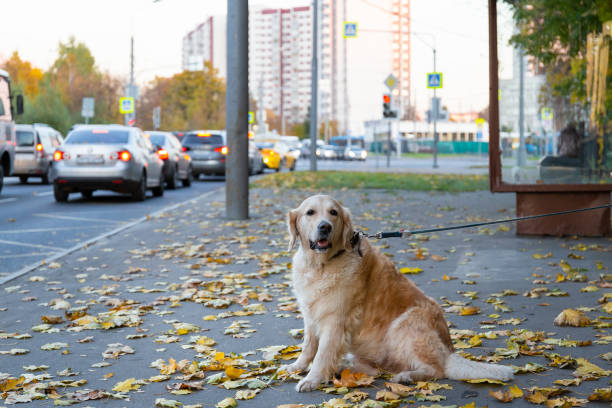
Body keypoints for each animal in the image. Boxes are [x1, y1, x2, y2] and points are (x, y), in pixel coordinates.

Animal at [284, 194, 512, 392]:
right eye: (310, 212)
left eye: (334, 213)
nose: (325, 226)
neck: (320, 265)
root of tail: (450, 351)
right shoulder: (311, 315)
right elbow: (308, 347)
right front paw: (296, 367)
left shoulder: (336, 321)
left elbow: (322, 354)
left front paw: (312, 379)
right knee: (375, 370)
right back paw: (344, 367)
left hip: (404, 324)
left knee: (436, 370)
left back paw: (406, 376)